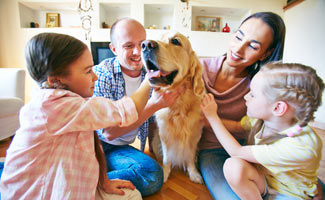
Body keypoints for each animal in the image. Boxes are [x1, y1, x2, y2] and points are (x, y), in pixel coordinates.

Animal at [140, 31, 205, 183]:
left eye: (175, 41)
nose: (145, 44)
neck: (179, 107)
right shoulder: (165, 135)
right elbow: (167, 158)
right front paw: (165, 173)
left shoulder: (194, 136)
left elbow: (189, 156)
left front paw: (193, 173)